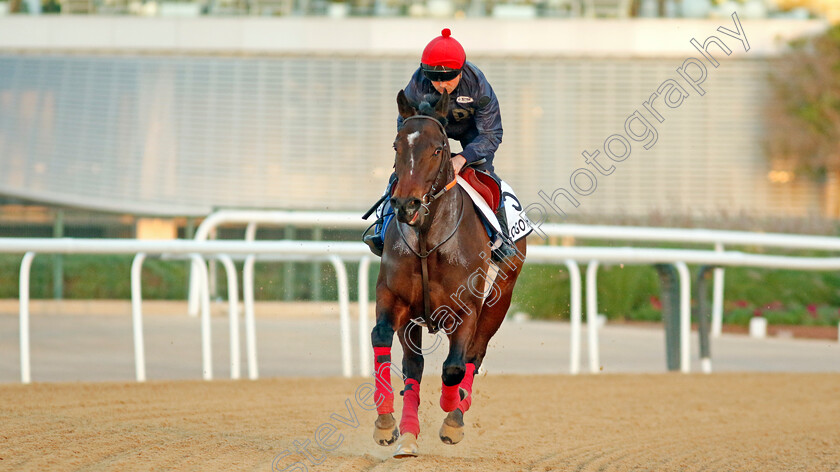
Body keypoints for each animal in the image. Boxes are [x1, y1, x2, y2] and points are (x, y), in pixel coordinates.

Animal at [372, 88, 528, 458]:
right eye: (397, 146)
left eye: (438, 148)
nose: (406, 204)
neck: (428, 241)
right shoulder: (393, 298)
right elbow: (382, 338)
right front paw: (386, 424)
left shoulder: (467, 308)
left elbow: (455, 365)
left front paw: (451, 413)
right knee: (414, 366)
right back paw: (409, 434)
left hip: (500, 297)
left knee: (474, 354)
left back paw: (456, 412)